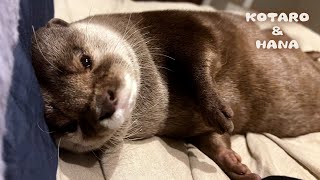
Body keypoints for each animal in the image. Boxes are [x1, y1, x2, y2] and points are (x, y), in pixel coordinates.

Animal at [30, 10, 320, 179]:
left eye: (85, 60)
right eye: (69, 125)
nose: (104, 105)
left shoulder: (182, 26)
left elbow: (198, 54)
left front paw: (217, 110)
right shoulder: (195, 131)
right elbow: (214, 141)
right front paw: (237, 166)